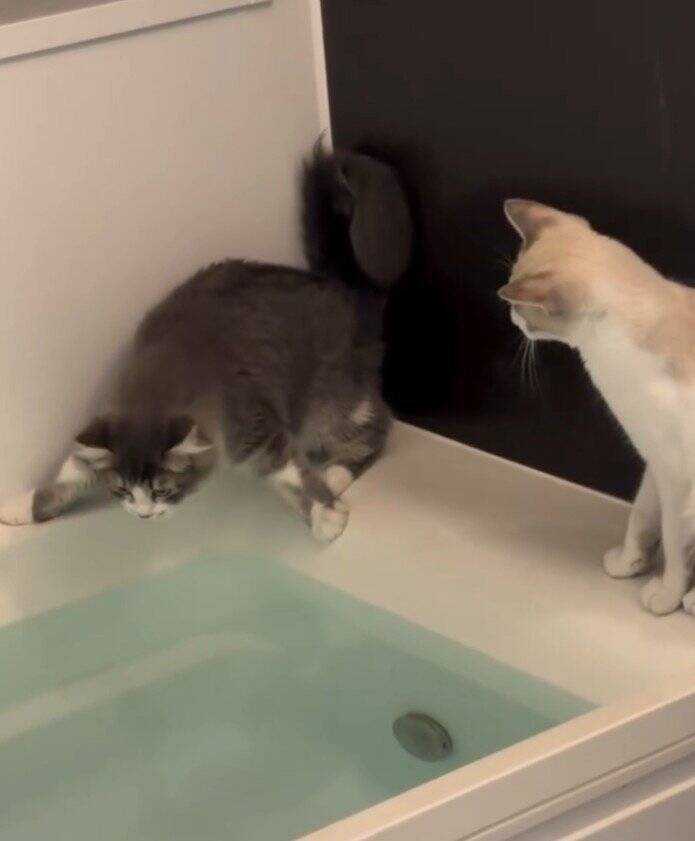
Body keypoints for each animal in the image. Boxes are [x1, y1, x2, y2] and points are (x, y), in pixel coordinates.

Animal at [0, 146, 413, 542]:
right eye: (122, 492)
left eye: (163, 490)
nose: (144, 516)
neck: (154, 383)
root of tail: (341, 287)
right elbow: (65, 477)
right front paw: (20, 508)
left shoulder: (259, 429)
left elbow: (294, 477)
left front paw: (326, 517)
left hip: (330, 404)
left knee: (378, 425)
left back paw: (335, 473)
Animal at [500, 198, 695, 616]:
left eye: (522, 310)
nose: (511, 316)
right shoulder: (655, 461)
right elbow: (641, 516)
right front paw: (628, 563)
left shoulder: (677, 477)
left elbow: (674, 545)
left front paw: (665, 596)